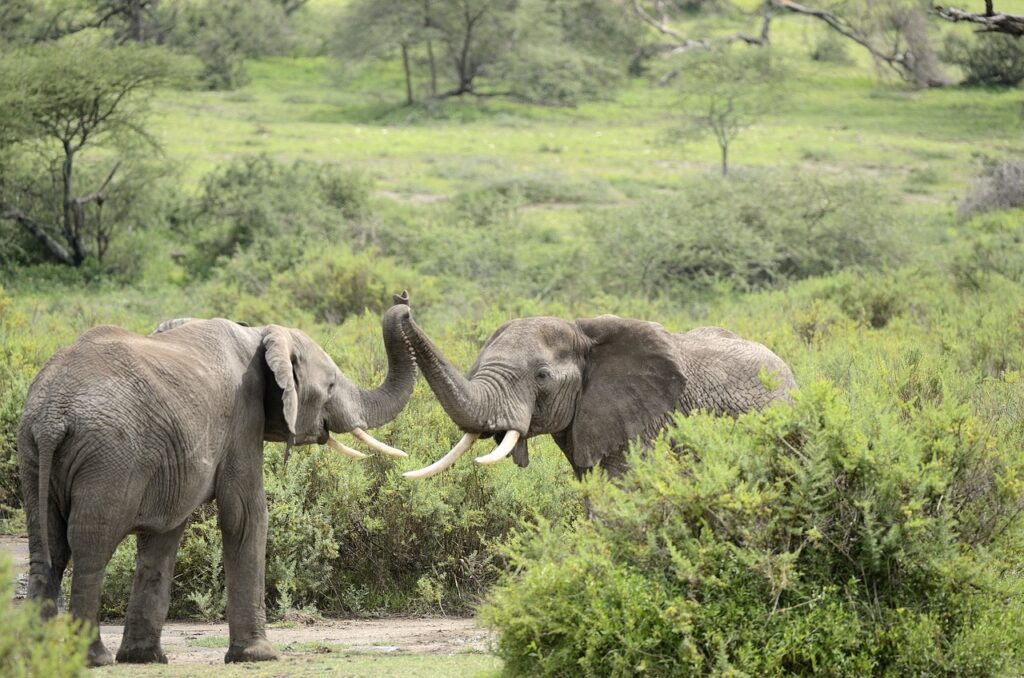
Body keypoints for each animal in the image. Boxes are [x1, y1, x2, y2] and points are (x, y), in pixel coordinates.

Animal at [17, 294, 415, 667]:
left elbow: (164, 537)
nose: (404, 301)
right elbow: (246, 516)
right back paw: (94, 658)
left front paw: (145, 658)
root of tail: (52, 416)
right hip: (109, 457)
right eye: (330, 385)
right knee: (90, 547)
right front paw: (258, 655)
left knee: (46, 547)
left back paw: (38, 655)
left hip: (33, 454)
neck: (260, 335)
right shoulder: (243, 416)